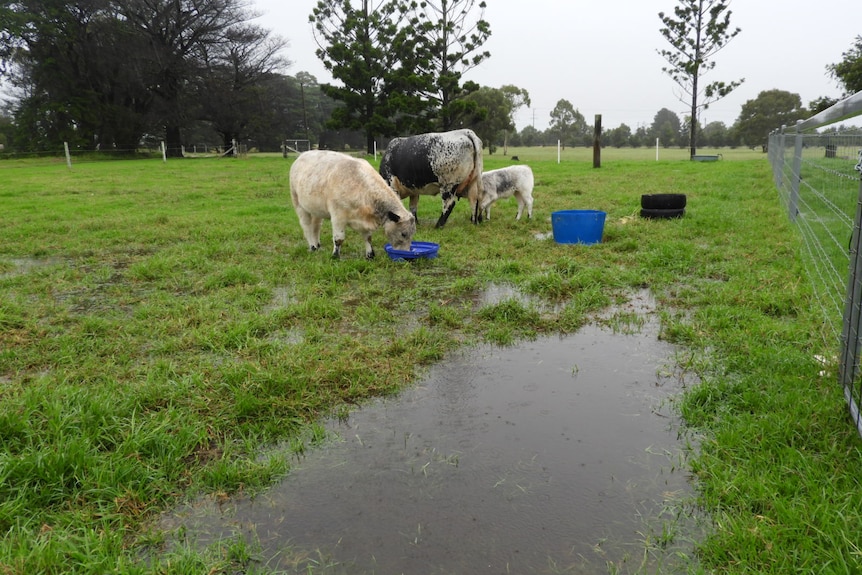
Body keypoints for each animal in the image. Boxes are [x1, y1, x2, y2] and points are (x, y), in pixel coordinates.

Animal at [290, 148, 418, 258]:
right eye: (403, 234)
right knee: (307, 226)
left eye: (412, 234)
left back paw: (317, 245)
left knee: (316, 227)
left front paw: (370, 255)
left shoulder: (363, 219)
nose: (405, 254)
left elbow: (368, 237)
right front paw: (335, 256)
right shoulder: (338, 216)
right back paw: (312, 246)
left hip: (316, 210)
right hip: (298, 204)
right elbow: (339, 239)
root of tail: (302, 155)